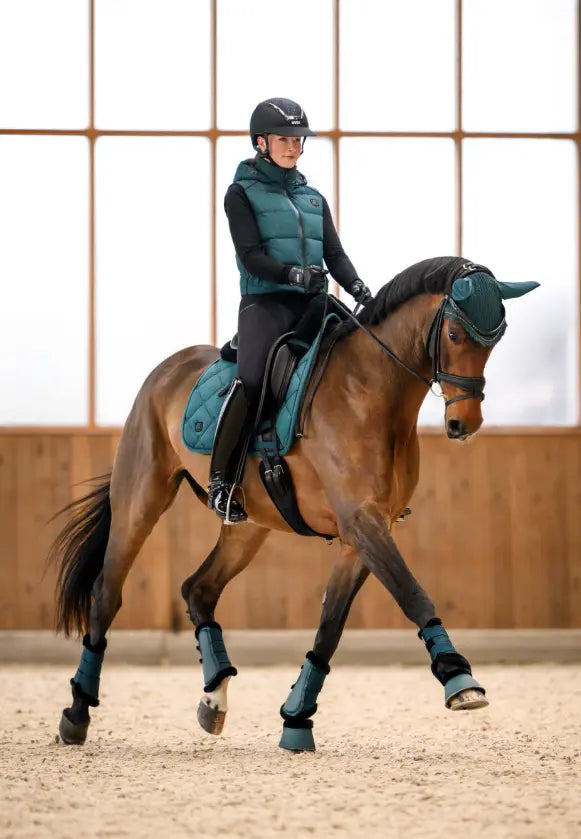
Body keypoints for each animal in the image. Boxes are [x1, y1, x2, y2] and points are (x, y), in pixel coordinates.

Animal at [49, 256, 538, 751]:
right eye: (455, 334)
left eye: (495, 339)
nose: (464, 424)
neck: (370, 390)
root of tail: (167, 369)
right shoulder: (362, 522)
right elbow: (412, 592)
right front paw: (460, 680)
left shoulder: (362, 533)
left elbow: (329, 628)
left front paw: (297, 720)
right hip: (141, 498)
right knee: (107, 595)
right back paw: (76, 713)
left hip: (248, 526)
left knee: (198, 589)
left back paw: (214, 699)